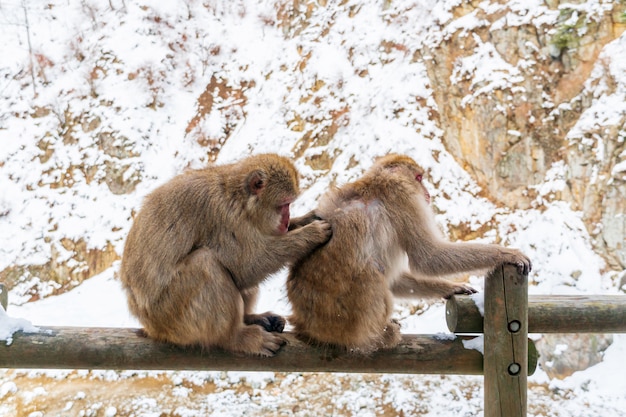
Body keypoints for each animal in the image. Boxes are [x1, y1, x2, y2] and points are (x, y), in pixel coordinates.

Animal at [119, 153, 330, 354]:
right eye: (284, 205)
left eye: (289, 206)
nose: (286, 221)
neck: (237, 197)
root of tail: (150, 327)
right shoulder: (223, 218)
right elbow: (246, 267)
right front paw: (311, 233)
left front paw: (305, 220)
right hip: (169, 316)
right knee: (205, 263)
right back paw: (235, 337)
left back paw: (250, 318)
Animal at [286, 153, 528, 352]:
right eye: (419, 178)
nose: (428, 194)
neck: (377, 181)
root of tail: (306, 325)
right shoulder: (402, 197)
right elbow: (427, 257)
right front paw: (505, 254)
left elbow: (397, 277)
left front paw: (450, 287)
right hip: (345, 321)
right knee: (372, 273)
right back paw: (379, 336)